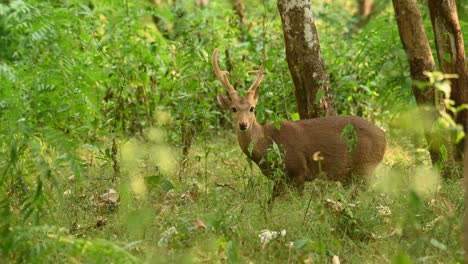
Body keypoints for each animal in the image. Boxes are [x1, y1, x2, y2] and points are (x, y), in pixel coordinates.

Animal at [212, 49, 388, 198]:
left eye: (252, 108)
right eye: (233, 108)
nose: (243, 125)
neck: (268, 144)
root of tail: (383, 135)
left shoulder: (298, 171)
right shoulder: (279, 179)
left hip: (365, 166)